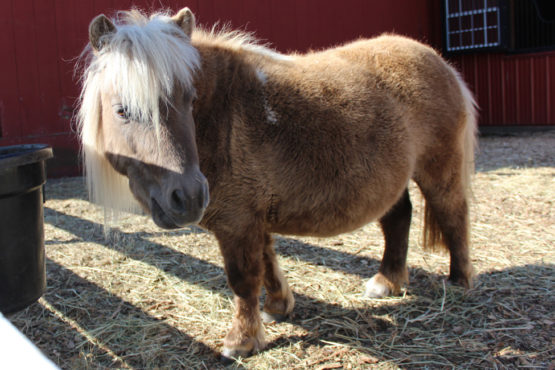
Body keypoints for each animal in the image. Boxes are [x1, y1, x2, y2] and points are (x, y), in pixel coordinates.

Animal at [77, 7, 478, 362]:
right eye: (122, 111)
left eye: (190, 99)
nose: (188, 197)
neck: (222, 114)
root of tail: (440, 62)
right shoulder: (253, 219)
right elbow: (268, 263)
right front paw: (277, 308)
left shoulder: (238, 223)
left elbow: (243, 280)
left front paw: (241, 342)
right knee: (397, 219)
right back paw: (387, 282)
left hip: (439, 171)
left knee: (453, 215)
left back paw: (459, 282)